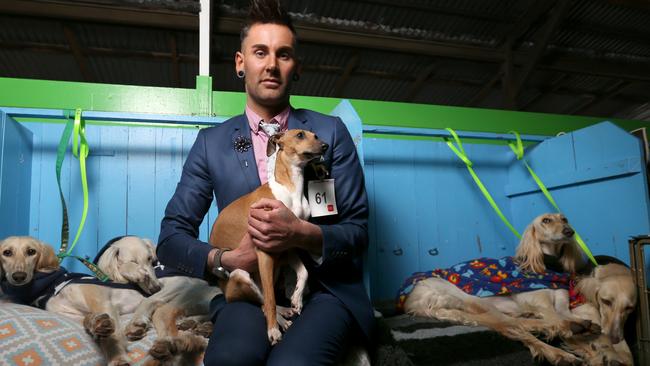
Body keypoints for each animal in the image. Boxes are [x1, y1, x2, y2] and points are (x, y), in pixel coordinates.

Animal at [398, 214, 632, 366]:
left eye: (564, 219)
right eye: (546, 220)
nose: (569, 231)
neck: (548, 267)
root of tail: (411, 300)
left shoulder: (562, 306)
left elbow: (568, 317)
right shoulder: (543, 306)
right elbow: (555, 319)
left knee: (516, 323)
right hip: (468, 298)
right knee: (514, 327)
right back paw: (560, 348)